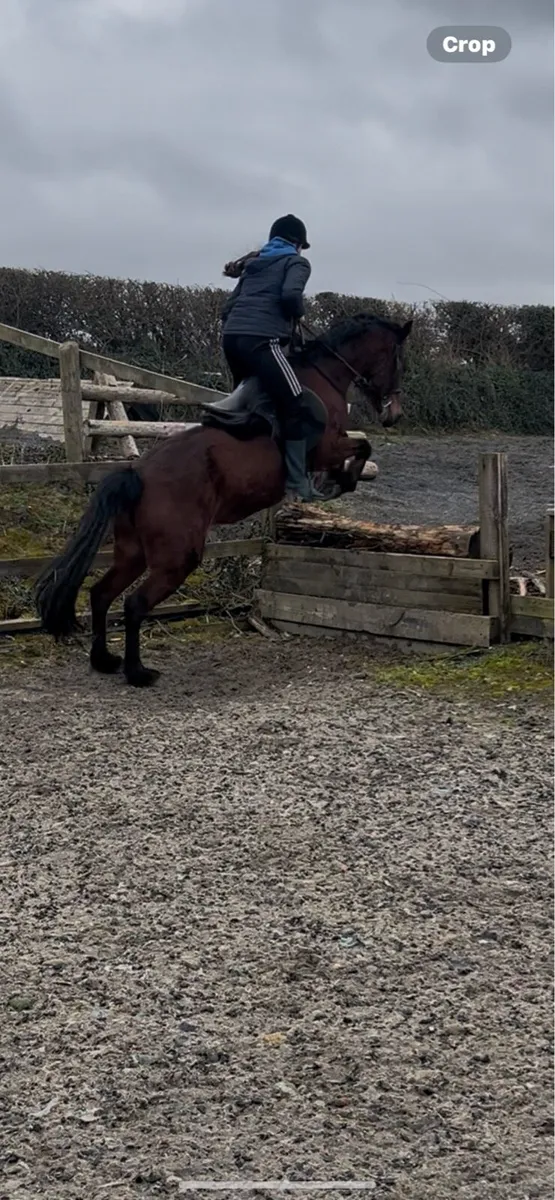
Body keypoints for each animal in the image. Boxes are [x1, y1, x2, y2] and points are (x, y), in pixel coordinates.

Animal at [35, 312, 412, 687]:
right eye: (398, 359)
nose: (393, 414)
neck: (323, 376)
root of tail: (138, 475)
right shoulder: (327, 447)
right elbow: (363, 446)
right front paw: (341, 482)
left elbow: (360, 449)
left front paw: (336, 482)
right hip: (176, 559)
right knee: (134, 604)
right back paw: (137, 672)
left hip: (133, 553)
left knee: (100, 594)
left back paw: (104, 661)